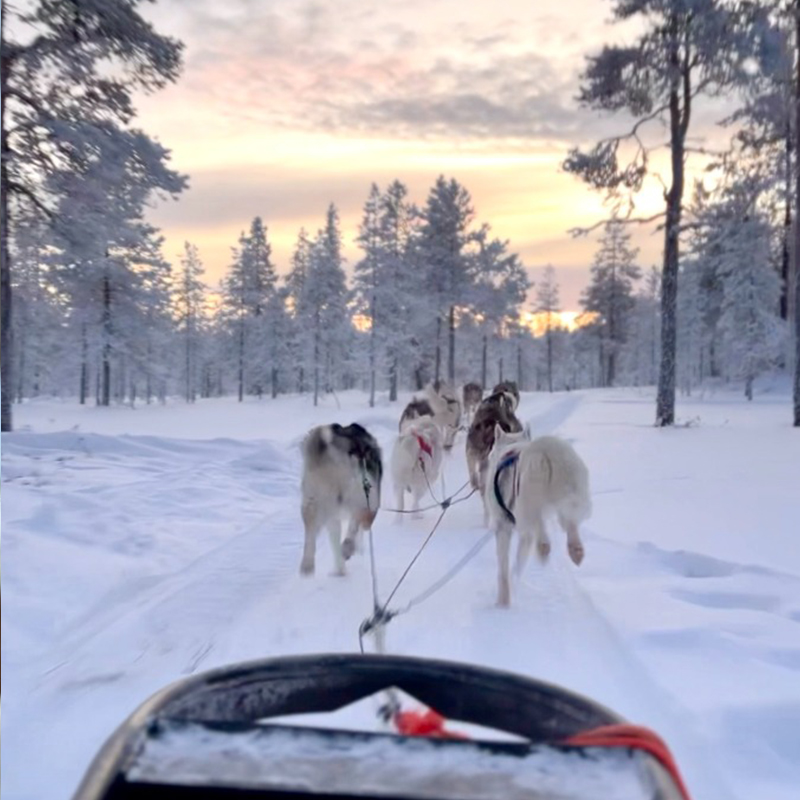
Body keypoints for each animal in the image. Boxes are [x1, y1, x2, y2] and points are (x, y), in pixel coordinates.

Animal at [300, 422, 382, 580]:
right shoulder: (369, 507)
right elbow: (358, 529)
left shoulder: (332, 516)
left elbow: (335, 540)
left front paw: (340, 569)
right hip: (360, 497)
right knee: (354, 524)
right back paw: (348, 548)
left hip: (313, 500)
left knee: (310, 531)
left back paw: (307, 564)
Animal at [482, 424, 588, 608]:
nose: (489, 456)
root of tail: (545, 450)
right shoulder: (524, 537)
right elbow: (518, 563)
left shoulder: (503, 526)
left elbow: (503, 570)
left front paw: (502, 602)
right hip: (571, 496)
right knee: (569, 523)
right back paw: (575, 549)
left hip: (527, 500)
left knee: (539, 525)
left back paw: (544, 547)